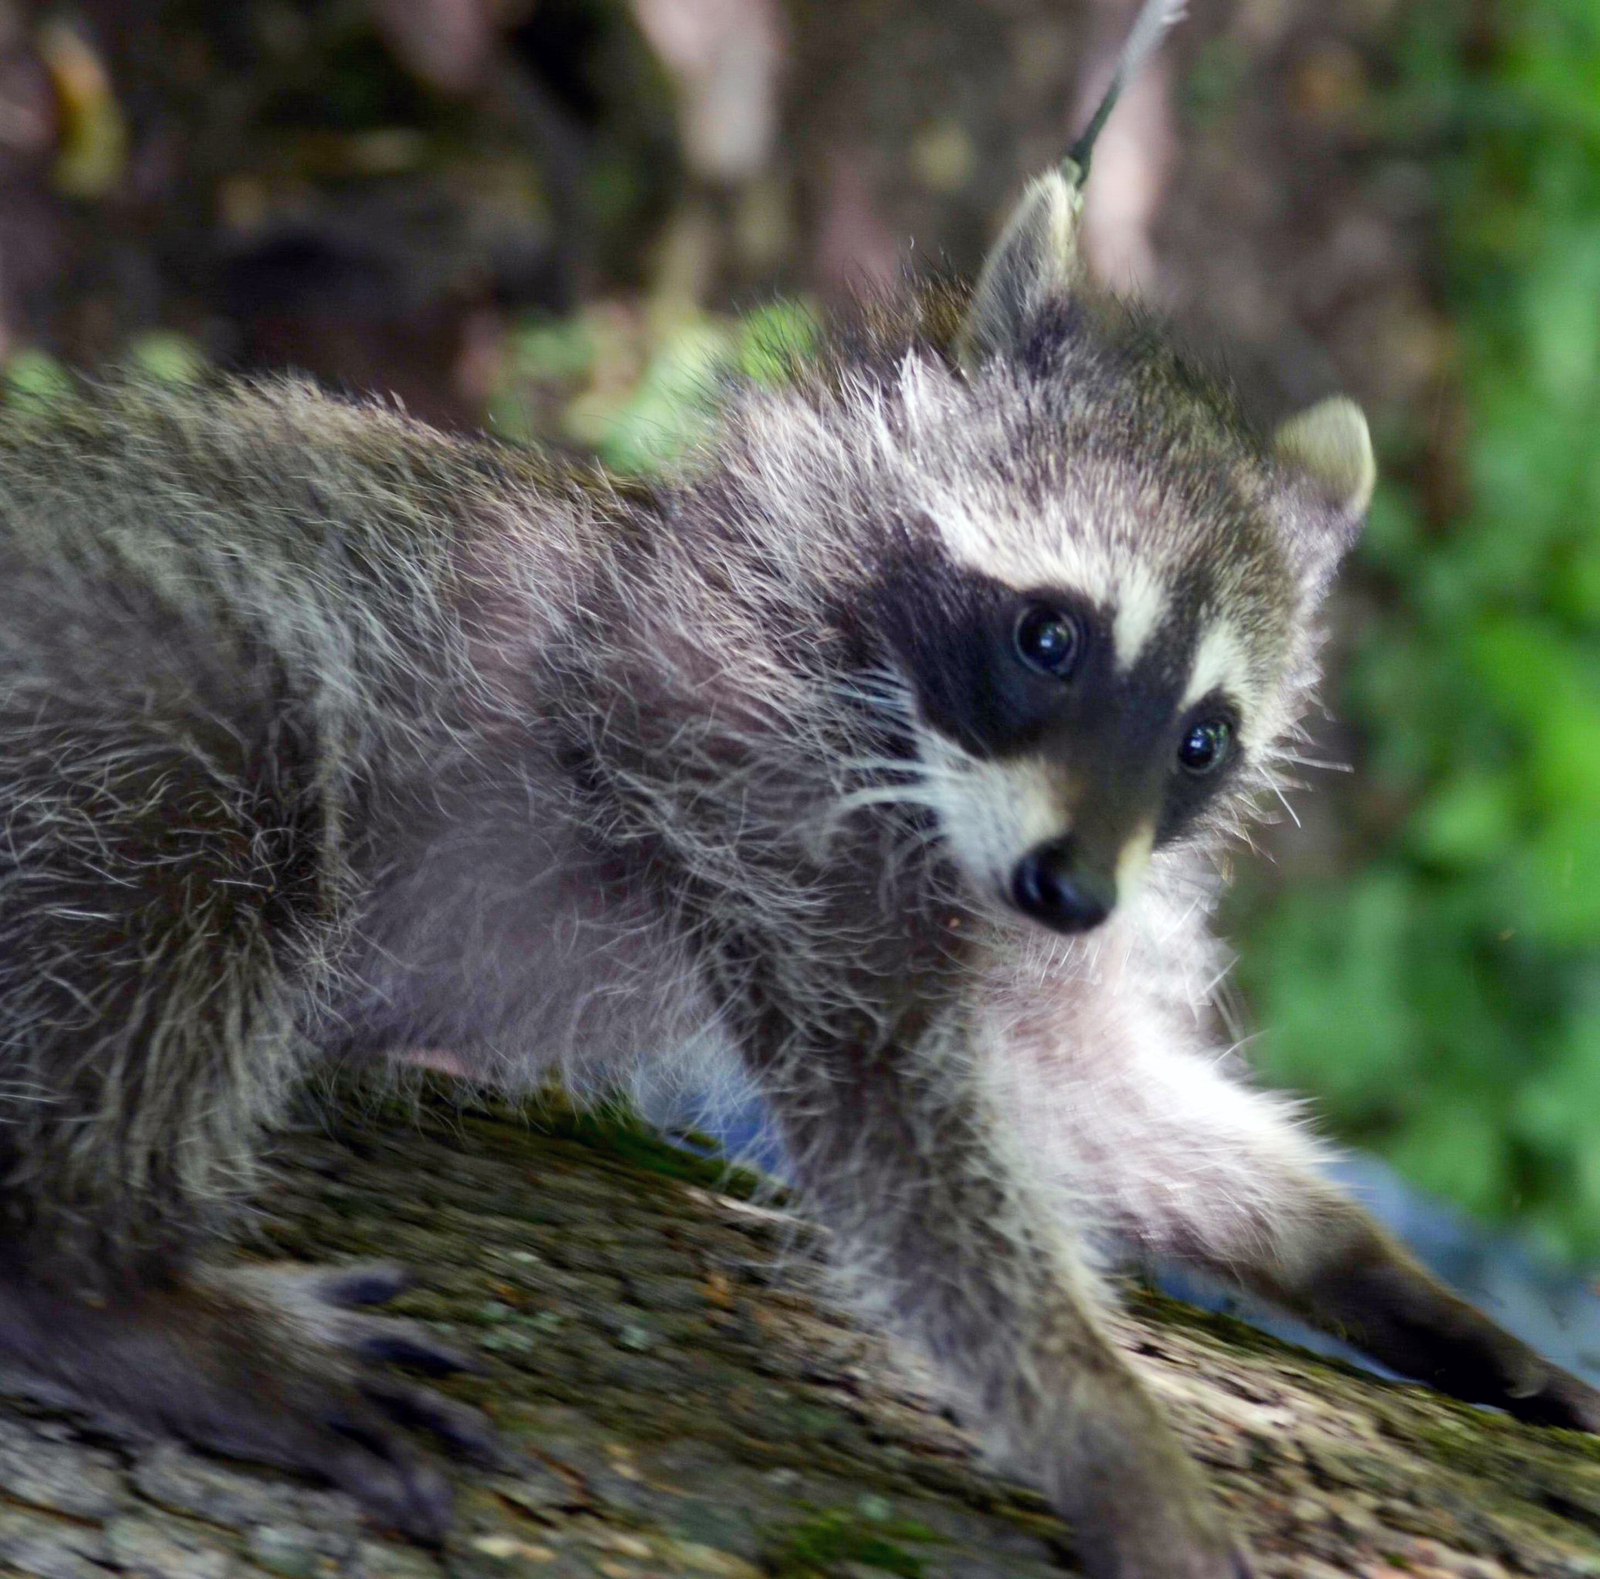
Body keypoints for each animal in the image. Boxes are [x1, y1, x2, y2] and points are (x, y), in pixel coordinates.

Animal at [0, 6, 1587, 1574]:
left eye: (1203, 738)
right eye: (1050, 635)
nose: (1073, 891)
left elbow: (1089, 1091)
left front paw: (1363, 1260)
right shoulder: (747, 769)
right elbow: (896, 1129)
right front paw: (1112, 1437)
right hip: (113, 673)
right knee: (217, 790)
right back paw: (99, 1284)